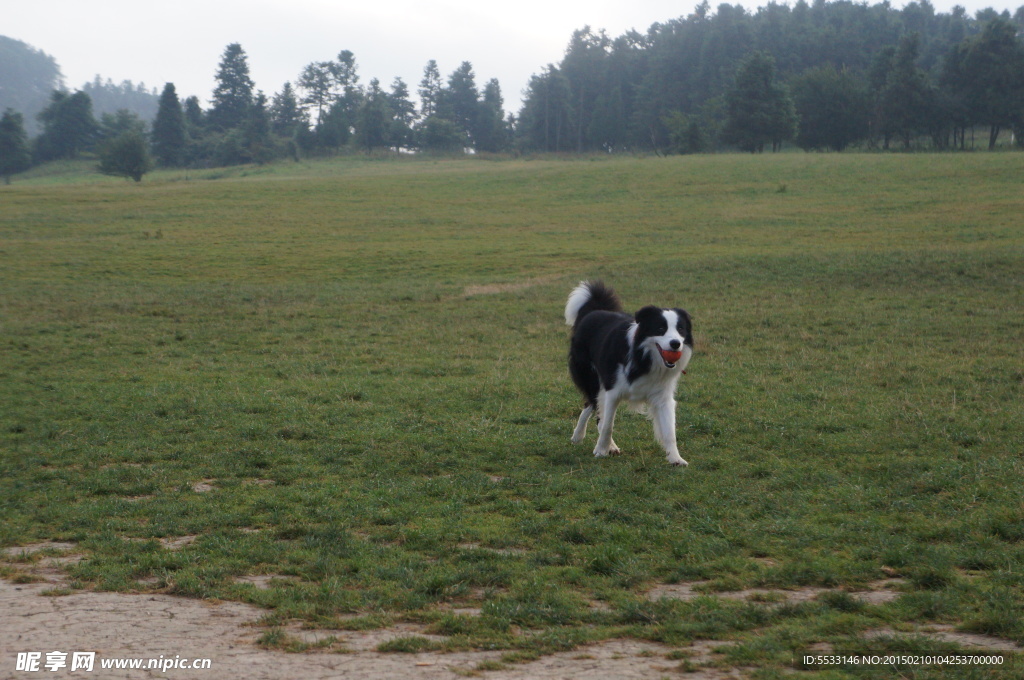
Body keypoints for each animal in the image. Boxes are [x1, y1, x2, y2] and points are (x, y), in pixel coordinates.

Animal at [565, 280, 692, 466]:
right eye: (660, 328)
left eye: (681, 329)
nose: (675, 344)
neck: (644, 357)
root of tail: (594, 311)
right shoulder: (612, 391)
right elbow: (608, 425)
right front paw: (601, 450)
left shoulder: (662, 396)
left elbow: (669, 431)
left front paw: (676, 458)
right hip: (592, 379)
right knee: (593, 406)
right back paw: (581, 436)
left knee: (592, 407)